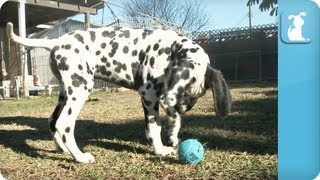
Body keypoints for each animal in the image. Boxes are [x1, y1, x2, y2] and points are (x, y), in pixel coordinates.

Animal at [6, 22, 231, 163]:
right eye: (187, 94)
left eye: (197, 96)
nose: (186, 108)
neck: (171, 49)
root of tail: (55, 42)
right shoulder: (150, 95)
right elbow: (155, 126)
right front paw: (161, 148)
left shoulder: (157, 97)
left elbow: (167, 121)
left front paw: (173, 135)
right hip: (80, 89)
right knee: (64, 125)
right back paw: (79, 157)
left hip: (65, 93)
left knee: (52, 120)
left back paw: (62, 148)